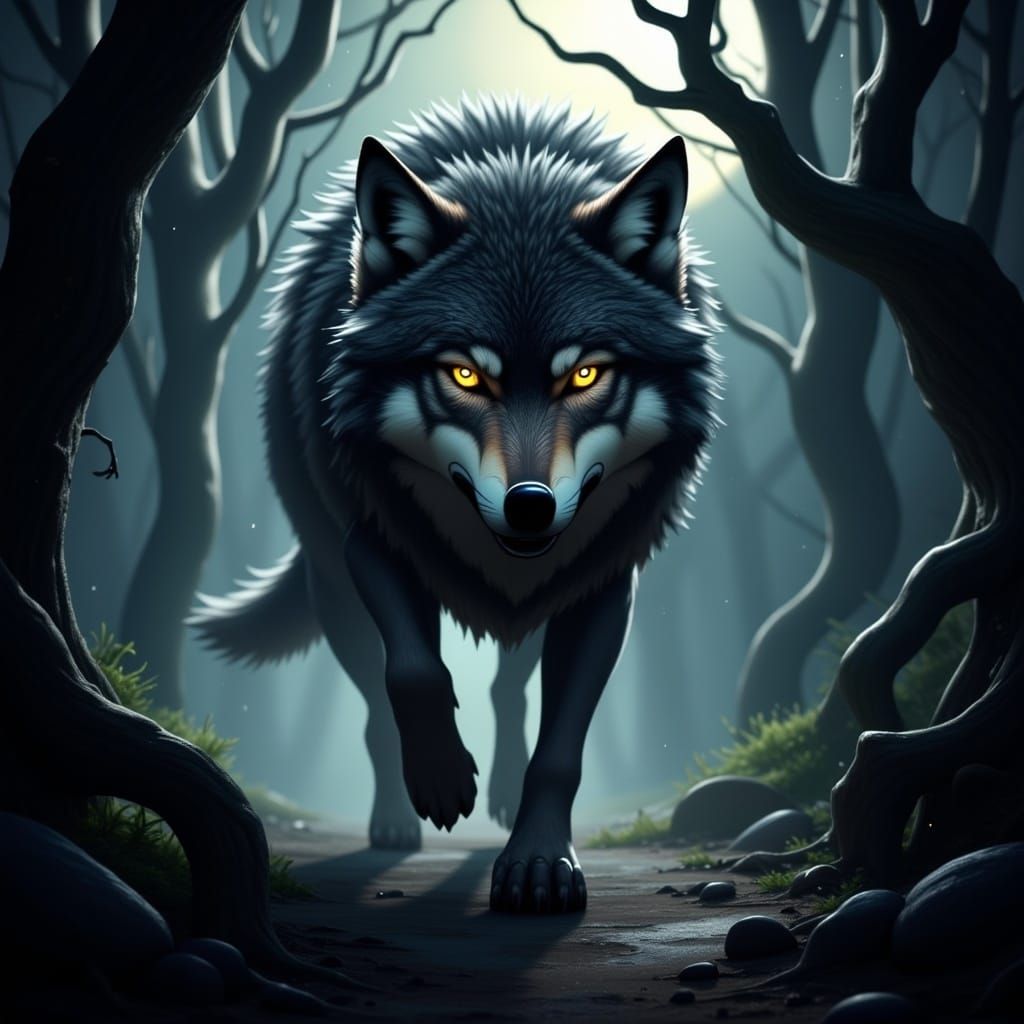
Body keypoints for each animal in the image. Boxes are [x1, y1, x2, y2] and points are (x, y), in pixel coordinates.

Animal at [191, 96, 720, 914]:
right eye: (466, 375)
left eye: (586, 374)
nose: (531, 506)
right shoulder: (374, 541)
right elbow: (411, 672)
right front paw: (440, 780)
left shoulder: (601, 583)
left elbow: (559, 748)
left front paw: (538, 860)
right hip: (332, 583)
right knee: (377, 705)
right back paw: (394, 819)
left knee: (508, 686)